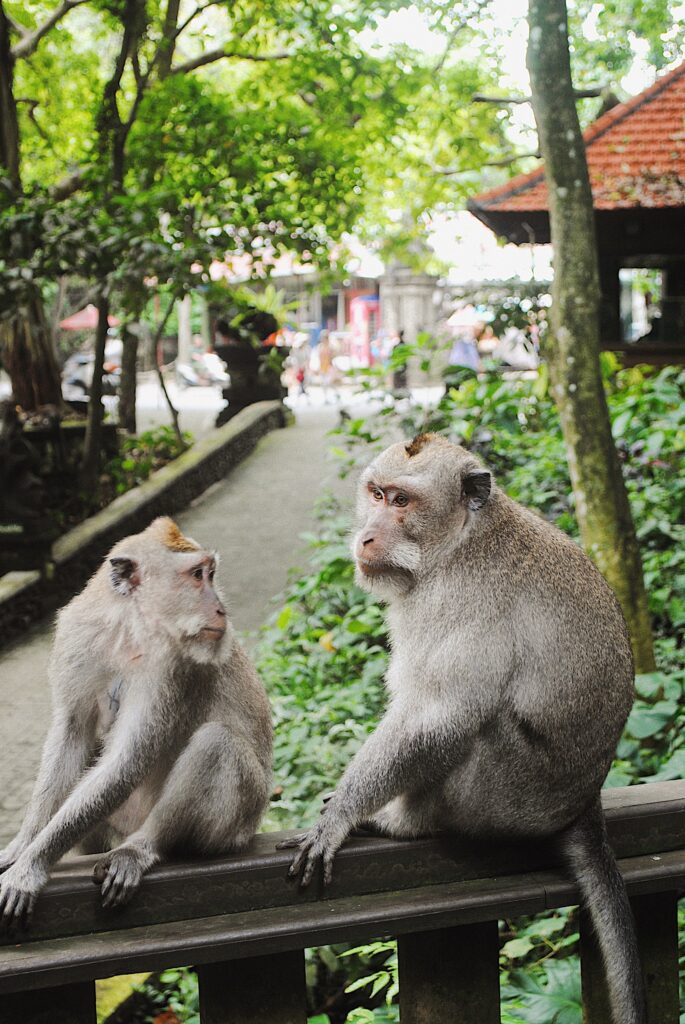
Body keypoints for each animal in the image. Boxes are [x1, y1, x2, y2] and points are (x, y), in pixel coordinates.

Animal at [0, 516, 272, 925]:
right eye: (198, 575)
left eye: (211, 573)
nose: (221, 609)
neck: (128, 628)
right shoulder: (76, 638)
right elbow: (72, 736)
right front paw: (24, 845)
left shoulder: (172, 667)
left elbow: (128, 758)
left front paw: (30, 867)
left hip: (238, 824)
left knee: (216, 744)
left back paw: (142, 847)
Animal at [282, 436, 647, 1024]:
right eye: (376, 493)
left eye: (402, 501)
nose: (366, 535)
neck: (459, 542)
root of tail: (585, 803)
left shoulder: (461, 601)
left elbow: (439, 715)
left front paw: (340, 816)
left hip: (507, 798)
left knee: (478, 727)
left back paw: (402, 823)